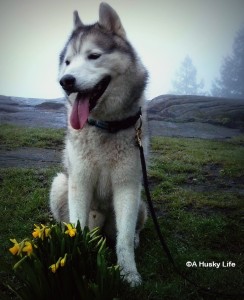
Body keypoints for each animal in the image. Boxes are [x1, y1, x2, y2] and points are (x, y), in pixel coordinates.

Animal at [50, 2, 147, 284]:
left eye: (94, 56)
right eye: (68, 62)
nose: (66, 80)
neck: (104, 125)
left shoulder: (128, 185)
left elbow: (123, 238)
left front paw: (129, 274)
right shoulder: (79, 182)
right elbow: (78, 228)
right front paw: (75, 258)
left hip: (141, 202)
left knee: (131, 230)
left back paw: (135, 240)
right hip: (60, 185)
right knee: (70, 222)